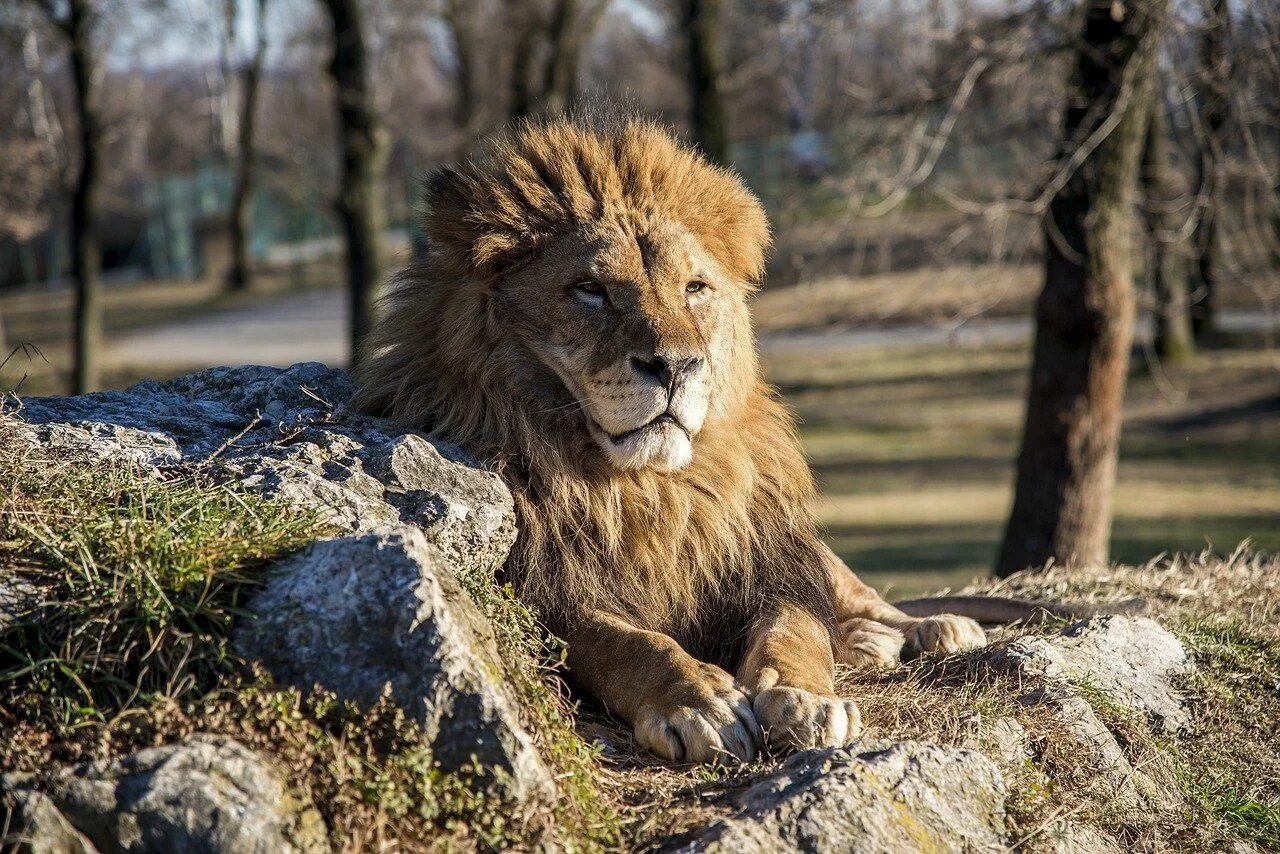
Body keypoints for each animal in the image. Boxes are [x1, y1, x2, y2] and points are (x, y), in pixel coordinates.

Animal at [355, 118, 1003, 763]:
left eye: (694, 288)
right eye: (590, 289)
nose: (675, 366)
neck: (651, 489)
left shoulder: (763, 563)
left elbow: (796, 629)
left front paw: (805, 699)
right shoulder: (544, 591)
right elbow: (628, 642)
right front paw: (698, 702)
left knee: (859, 593)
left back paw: (929, 628)